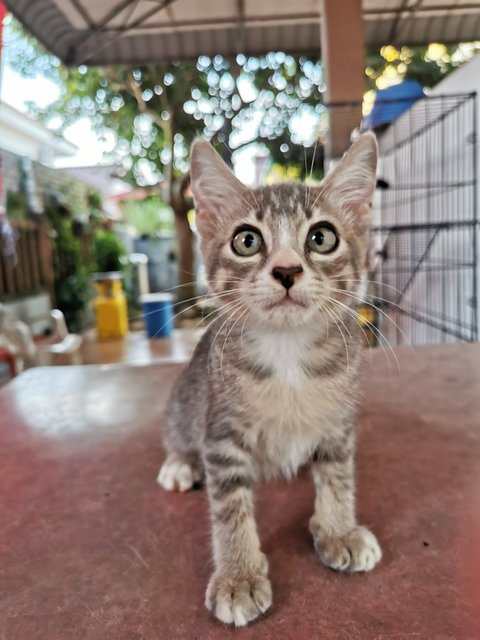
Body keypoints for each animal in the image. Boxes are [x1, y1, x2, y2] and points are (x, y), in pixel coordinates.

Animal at [158, 132, 382, 628]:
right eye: (246, 241)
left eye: (321, 237)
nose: (286, 270)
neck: (288, 355)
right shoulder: (220, 433)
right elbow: (230, 510)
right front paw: (238, 577)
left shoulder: (338, 423)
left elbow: (338, 476)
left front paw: (338, 529)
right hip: (186, 398)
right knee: (178, 434)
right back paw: (179, 463)